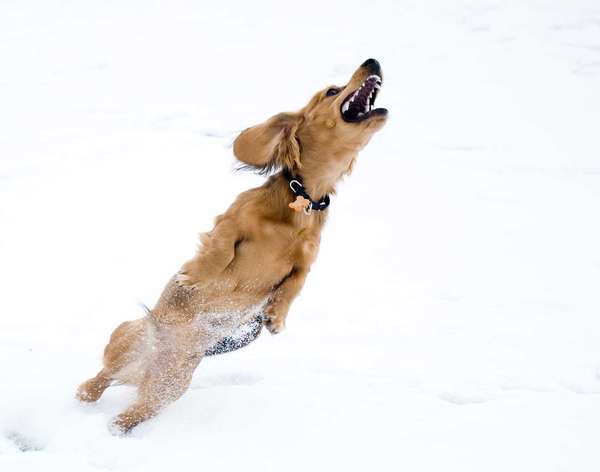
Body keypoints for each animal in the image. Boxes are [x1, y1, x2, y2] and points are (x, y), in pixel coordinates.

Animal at [76, 58, 388, 433]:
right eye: (331, 91)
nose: (373, 61)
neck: (300, 202)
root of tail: (150, 358)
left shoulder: (307, 260)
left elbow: (294, 285)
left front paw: (275, 317)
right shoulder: (230, 223)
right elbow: (221, 249)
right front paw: (195, 276)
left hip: (172, 384)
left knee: (133, 409)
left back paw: (118, 426)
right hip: (130, 336)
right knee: (101, 378)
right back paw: (88, 398)